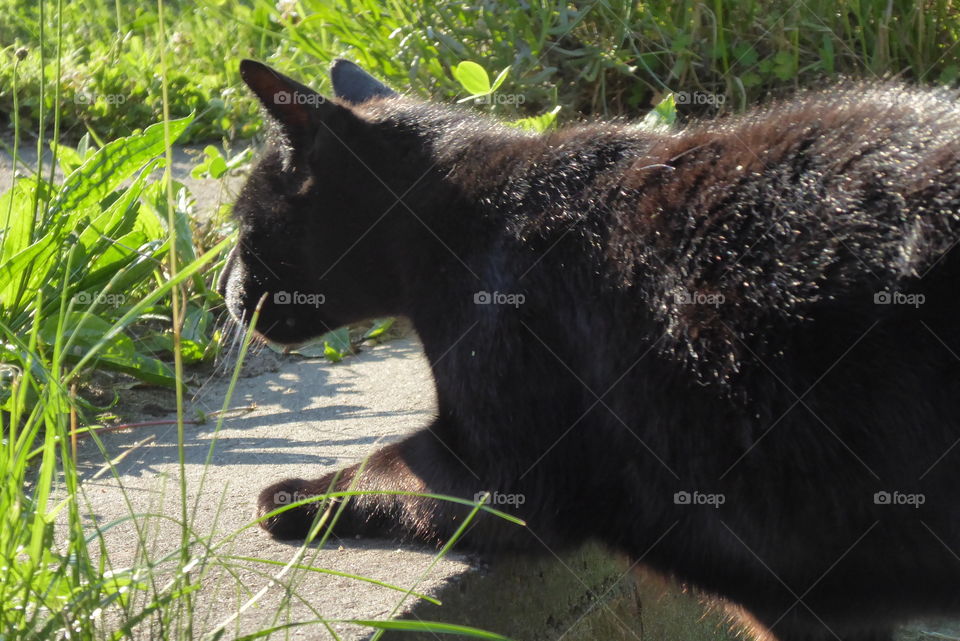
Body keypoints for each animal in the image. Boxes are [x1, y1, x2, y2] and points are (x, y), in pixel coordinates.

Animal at [221, 58, 960, 640]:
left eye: (244, 226)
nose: (224, 290)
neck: (460, 221)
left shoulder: (497, 469)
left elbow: (381, 470)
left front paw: (291, 496)